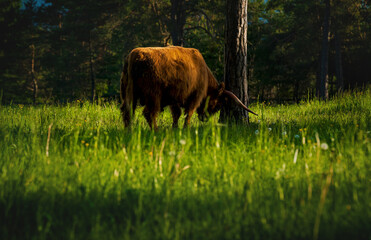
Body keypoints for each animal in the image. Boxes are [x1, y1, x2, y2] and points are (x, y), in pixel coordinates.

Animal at [120, 46, 258, 129]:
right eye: (218, 104)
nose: (204, 118)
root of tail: (134, 56)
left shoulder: (175, 98)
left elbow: (177, 114)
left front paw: (175, 128)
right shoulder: (195, 96)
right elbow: (188, 113)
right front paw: (186, 128)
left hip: (129, 93)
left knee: (127, 111)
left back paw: (128, 130)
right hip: (153, 95)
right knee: (149, 112)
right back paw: (156, 130)